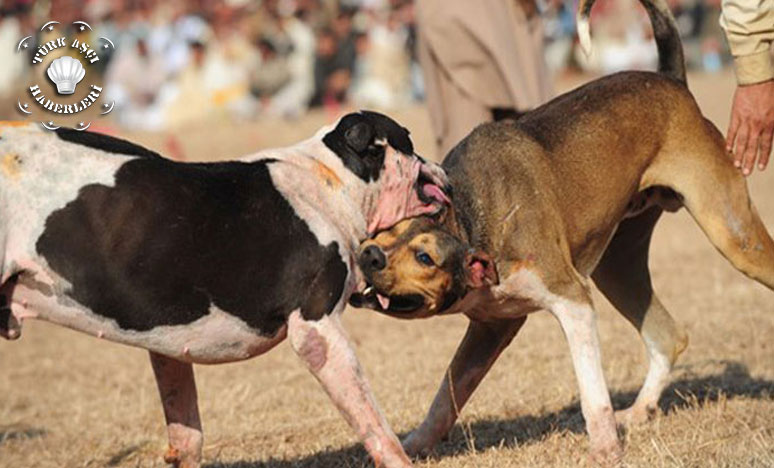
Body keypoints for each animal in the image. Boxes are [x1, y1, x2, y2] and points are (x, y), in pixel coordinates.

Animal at [0, 114, 452, 468]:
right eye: (409, 140)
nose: (442, 169)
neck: (332, 182)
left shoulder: (167, 347)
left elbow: (187, 433)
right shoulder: (317, 332)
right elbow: (372, 420)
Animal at [350, 0, 774, 462]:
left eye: (425, 257)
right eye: (385, 229)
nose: (370, 255)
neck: (469, 213)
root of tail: (671, 79)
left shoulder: (573, 302)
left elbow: (592, 392)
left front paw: (605, 450)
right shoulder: (489, 328)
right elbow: (445, 395)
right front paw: (412, 446)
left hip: (733, 234)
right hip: (617, 266)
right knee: (669, 337)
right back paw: (640, 410)